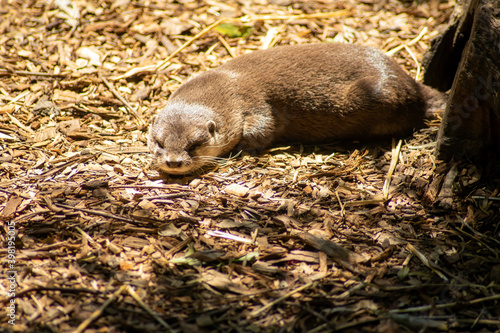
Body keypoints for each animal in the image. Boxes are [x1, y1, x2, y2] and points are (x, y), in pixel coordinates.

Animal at [148, 42, 446, 175]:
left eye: (193, 146)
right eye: (160, 143)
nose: (173, 162)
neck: (226, 84)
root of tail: (413, 85)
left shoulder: (255, 104)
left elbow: (262, 129)